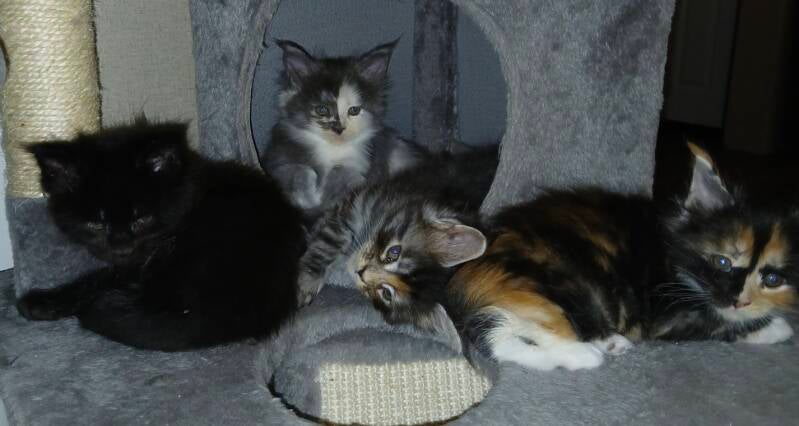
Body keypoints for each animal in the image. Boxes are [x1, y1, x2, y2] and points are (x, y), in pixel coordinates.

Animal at [262, 39, 425, 219]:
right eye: (322, 110)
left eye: (354, 110)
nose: (339, 129)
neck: (332, 149)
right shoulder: (276, 160)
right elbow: (301, 170)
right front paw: (308, 198)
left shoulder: (364, 166)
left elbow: (344, 175)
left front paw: (327, 194)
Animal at [295, 146, 499, 327]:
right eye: (394, 252)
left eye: (387, 294)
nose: (360, 272)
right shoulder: (358, 204)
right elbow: (327, 242)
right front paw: (306, 282)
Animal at [356, 143, 798, 371]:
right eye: (723, 262)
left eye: (772, 278)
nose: (738, 298)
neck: (677, 253)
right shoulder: (669, 311)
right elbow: (715, 324)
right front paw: (774, 328)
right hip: (566, 285)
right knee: (538, 327)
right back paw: (588, 353)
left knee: (504, 338)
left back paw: (604, 345)